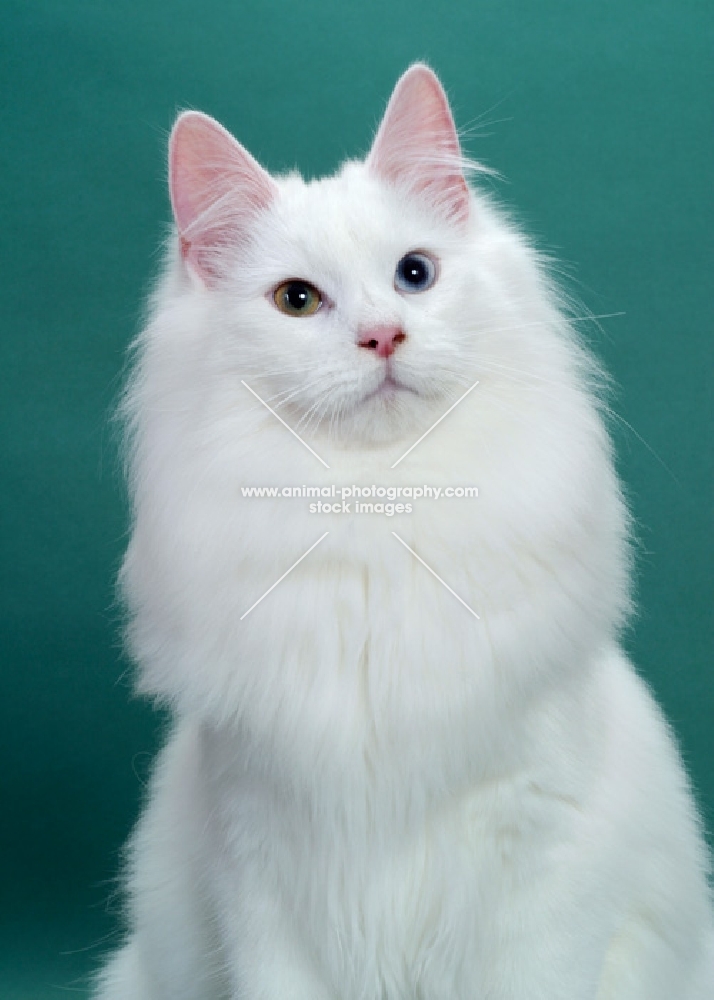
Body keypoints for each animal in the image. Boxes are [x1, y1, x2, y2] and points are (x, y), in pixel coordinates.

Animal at [92, 66, 708, 996]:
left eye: (415, 274)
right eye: (297, 301)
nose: (383, 336)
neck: (379, 510)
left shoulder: (540, 860)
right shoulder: (261, 860)